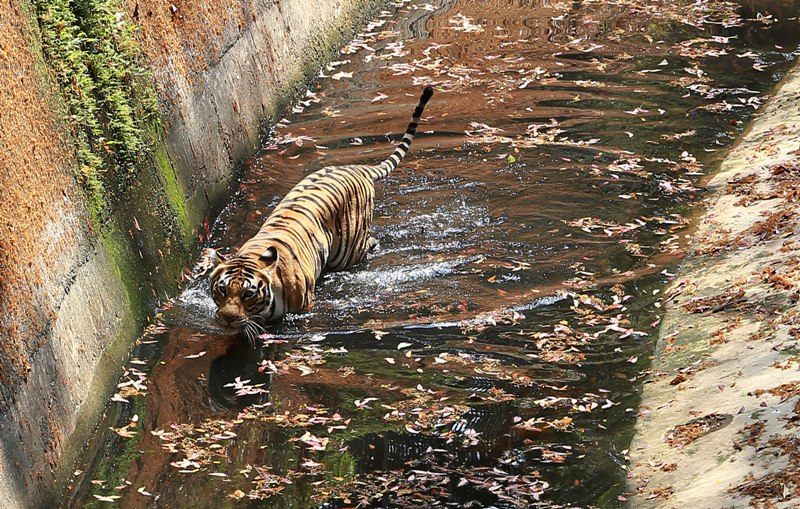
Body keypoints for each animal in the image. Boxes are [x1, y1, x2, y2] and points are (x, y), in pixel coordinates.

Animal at [206, 86, 433, 340]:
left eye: (248, 294)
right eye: (222, 289)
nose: (227, 319)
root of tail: (357, 167)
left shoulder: (303, 307)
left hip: (348, 251)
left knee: (368, 243)